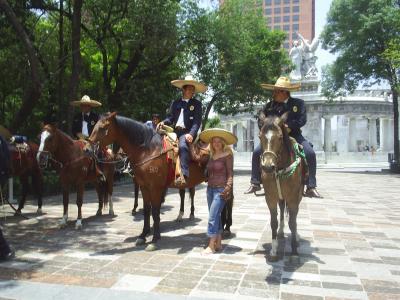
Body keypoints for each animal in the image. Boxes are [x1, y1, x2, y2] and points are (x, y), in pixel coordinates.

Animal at [88, 112, 209, 251]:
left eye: (103, 128)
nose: (87, 149)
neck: (149, 150)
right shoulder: (144, 187)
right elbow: (147, 210)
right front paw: (143, 235)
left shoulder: (155, 187)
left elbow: (155, 211)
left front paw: (155, 239)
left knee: (193, 195)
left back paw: (192, 215)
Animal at [258, 111, 304, 262]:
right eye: (260, 136)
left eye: (279, 137)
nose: (267, 166)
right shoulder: (271, 198)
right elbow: (274, 222)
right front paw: (273, 250)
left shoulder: (293, 198)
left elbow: (293, 223)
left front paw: (294, 252)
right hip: (280, 197)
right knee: (283, 209)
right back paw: (280, 232)